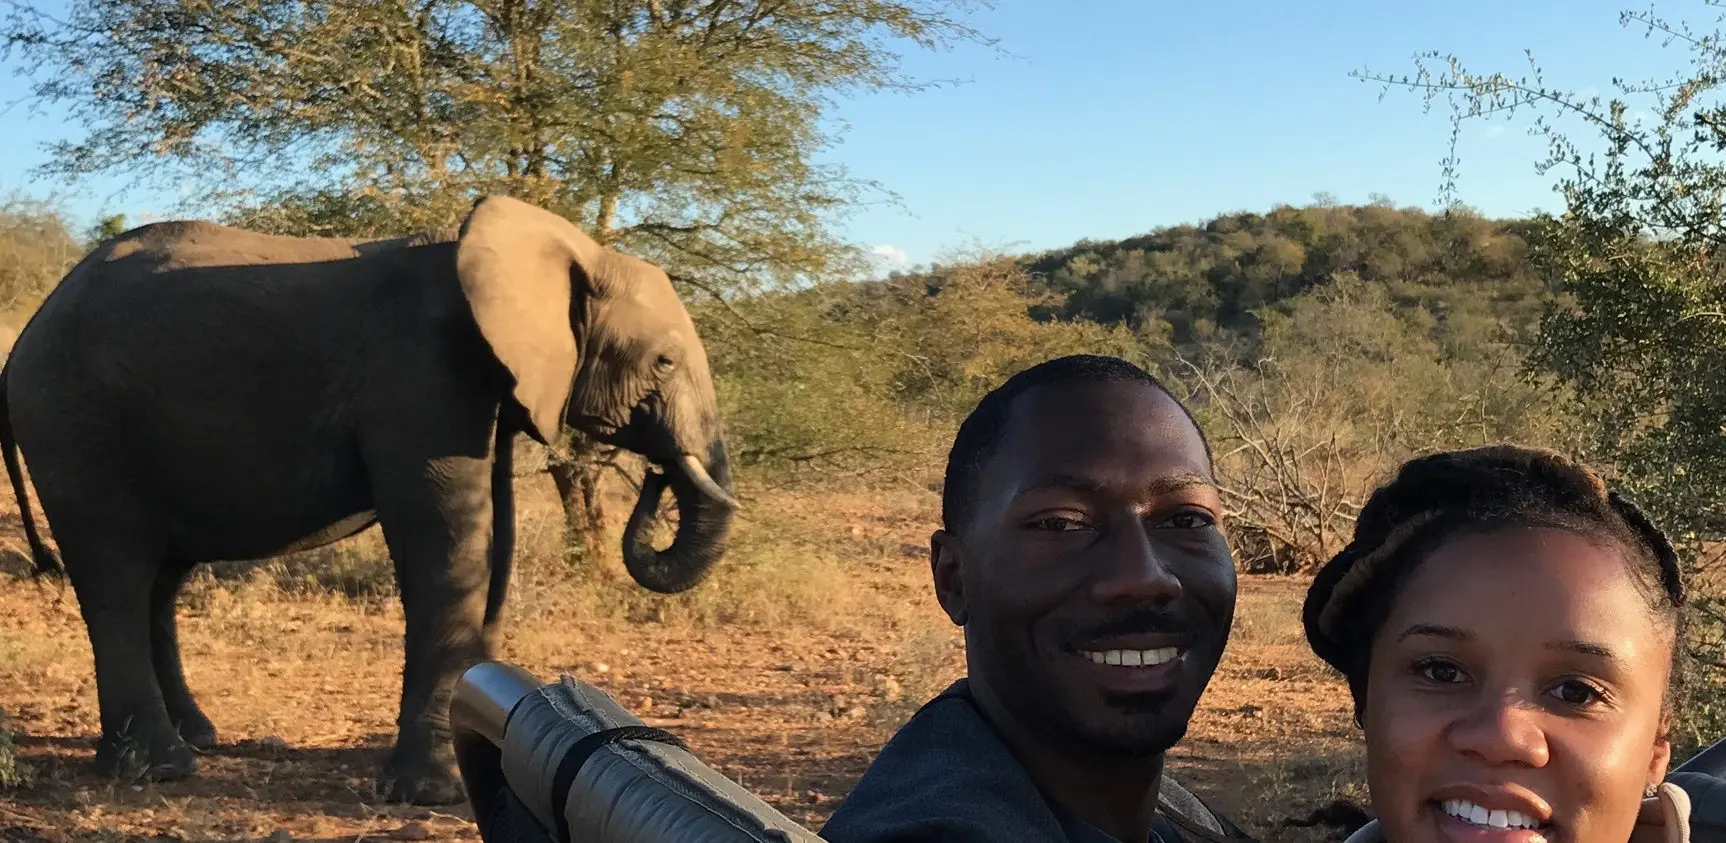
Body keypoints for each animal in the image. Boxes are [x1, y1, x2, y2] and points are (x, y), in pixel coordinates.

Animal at [0, 195, 739, 805]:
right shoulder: (422, 376)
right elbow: (445, 545)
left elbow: (492, 541)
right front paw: (429, 793)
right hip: (74, 423)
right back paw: (160, 769)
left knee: (159, 578)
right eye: (664, 362)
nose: (654, 478)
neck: (566, 245)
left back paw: (197, 738)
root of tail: (22, 343)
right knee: (117, 573)